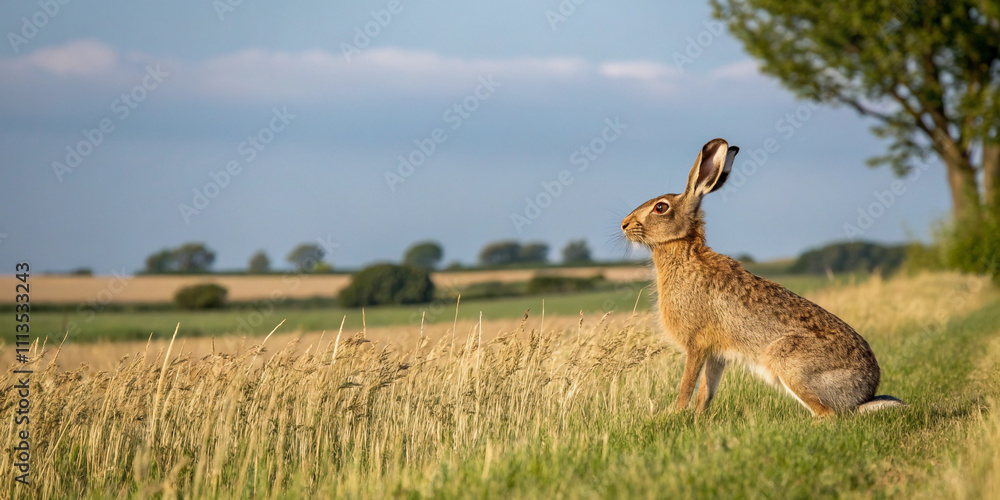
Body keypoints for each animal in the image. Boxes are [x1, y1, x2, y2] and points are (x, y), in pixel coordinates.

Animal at [620, 138, 903, 417]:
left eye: (660, 207)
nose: (624, 224)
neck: (685, 252)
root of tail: (863, 393)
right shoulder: (716, 354)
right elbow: (705, 392)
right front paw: (699, 418)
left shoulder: (697, 344)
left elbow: (687, 387)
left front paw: (675, 414)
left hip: (790, 364)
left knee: (827, 414)